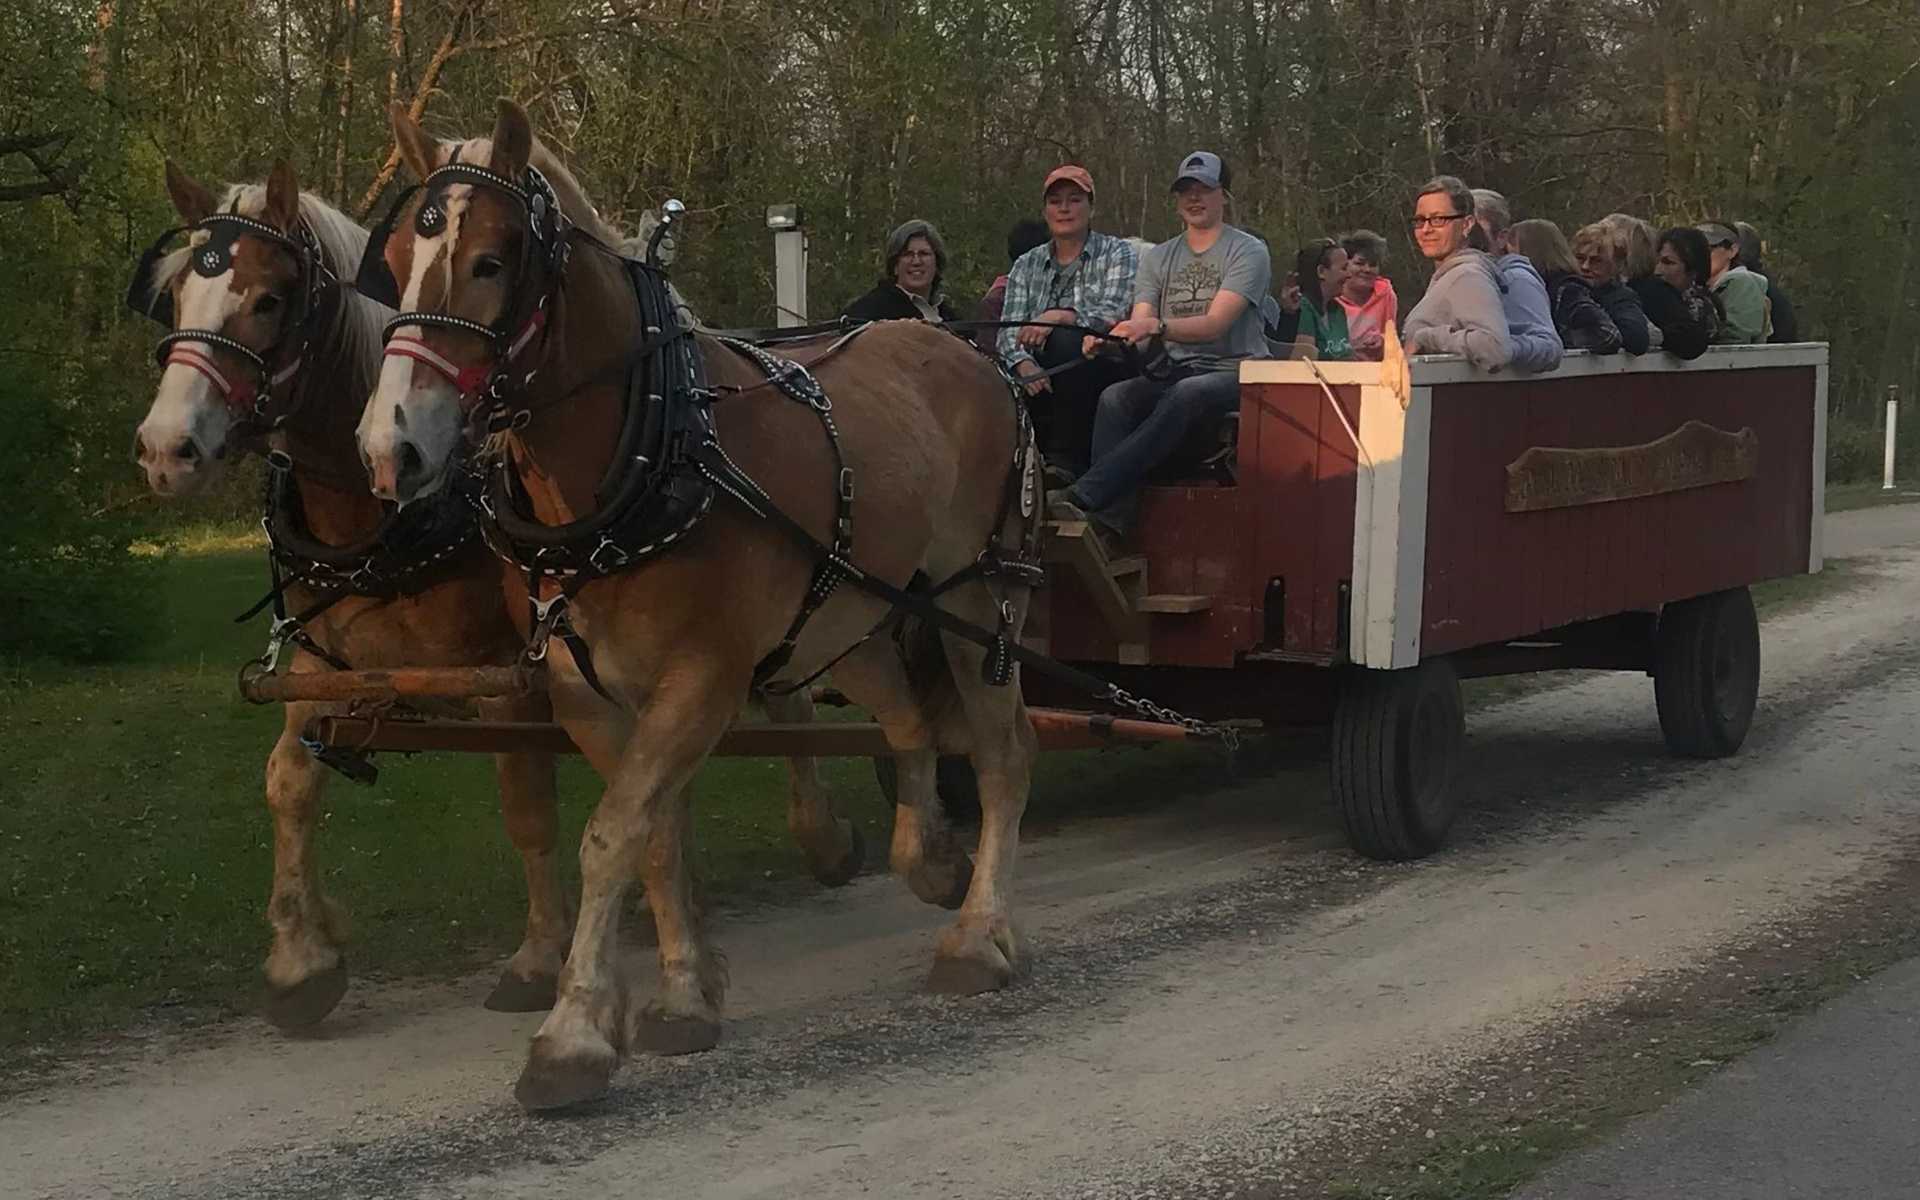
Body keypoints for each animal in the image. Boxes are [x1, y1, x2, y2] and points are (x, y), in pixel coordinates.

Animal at [353, 99, 1042, 1111]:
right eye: (399, 256)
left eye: (489, 261)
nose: (389, 449)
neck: (648, 455)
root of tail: (964, 349)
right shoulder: (588, 694)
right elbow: (654, 837)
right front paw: (680, 995)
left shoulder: (703, 679)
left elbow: (612, 835)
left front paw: (572, 1035)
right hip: (848, 612)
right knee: (911, 717)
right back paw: (930, 860)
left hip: (980, 595)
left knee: (999, 752)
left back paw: (982, 934)